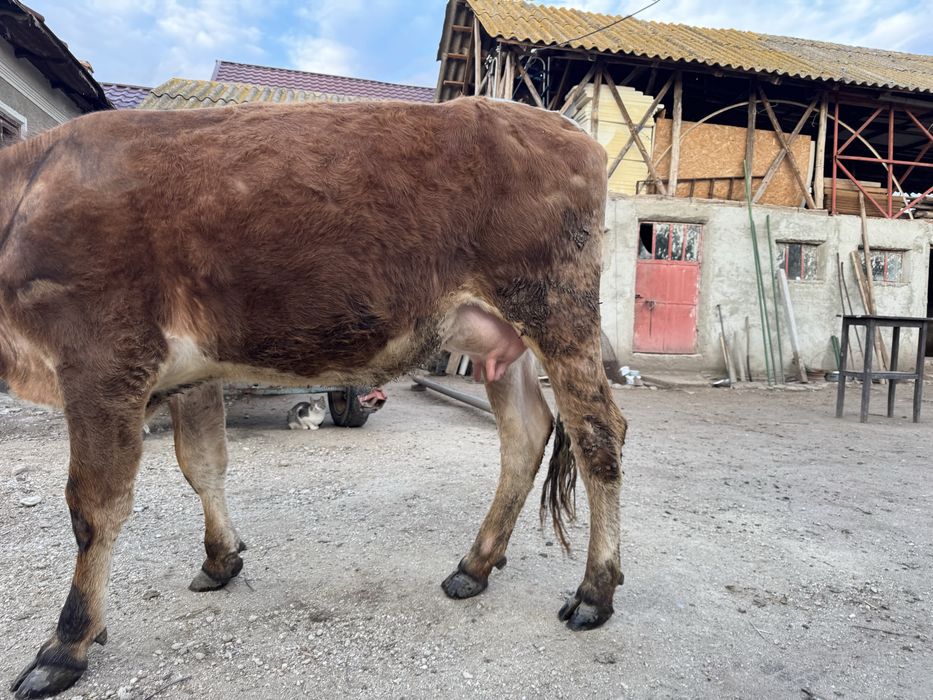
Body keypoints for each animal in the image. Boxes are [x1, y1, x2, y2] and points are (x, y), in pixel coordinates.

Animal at [0, 96, 627, 698]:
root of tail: (562, 126)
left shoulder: (101, 360)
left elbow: (93, 509)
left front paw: (65, 645)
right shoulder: (191, 371)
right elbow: (202, 463)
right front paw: (221, 558)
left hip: (556, 308)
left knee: (598, 435)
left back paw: (594, 591)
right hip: (499, 336)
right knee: (526, 434)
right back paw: (475, 566)